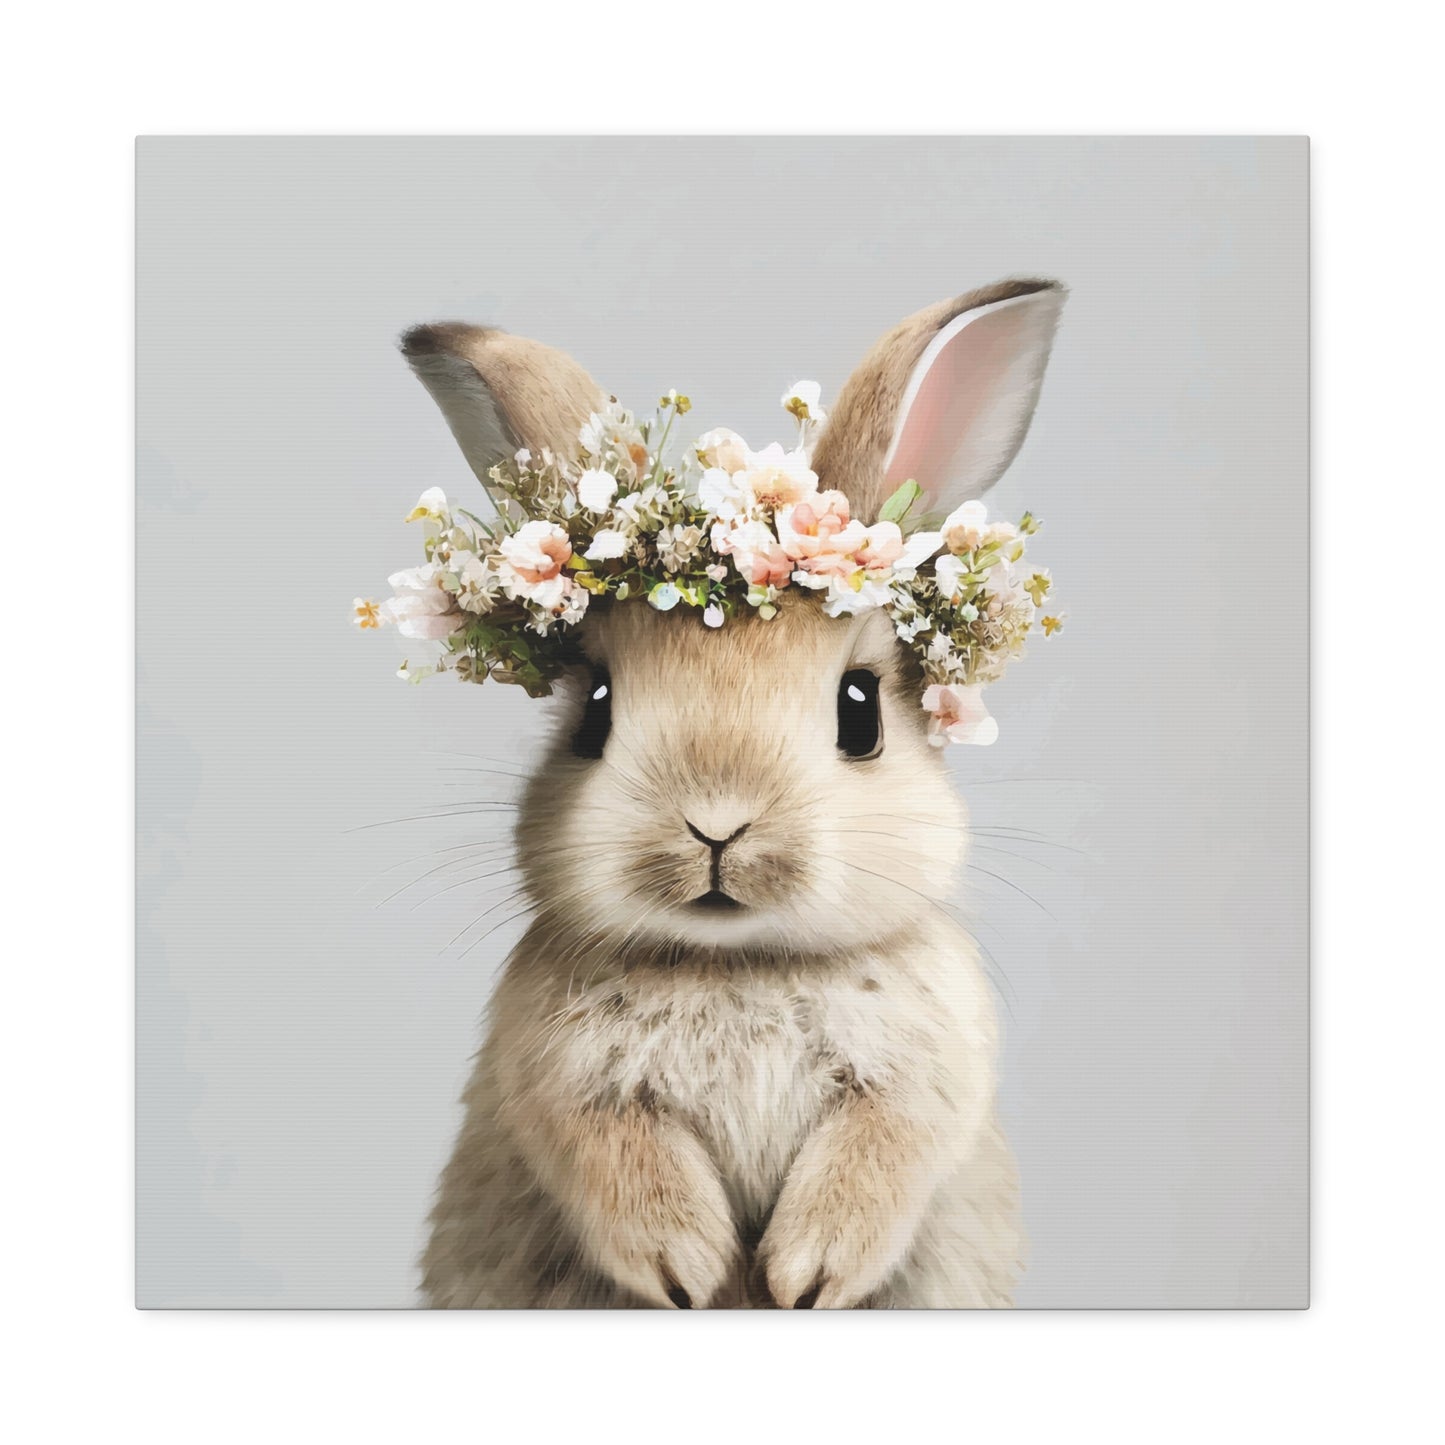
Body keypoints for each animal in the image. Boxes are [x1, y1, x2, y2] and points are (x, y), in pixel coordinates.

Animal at [400, 277, 1066, 1308]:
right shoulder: (560, 1086)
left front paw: (803, 1275)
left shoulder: (924, 1080)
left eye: (860, 713)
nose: (716, 824)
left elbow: (881, 1153)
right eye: (594, 712)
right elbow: (614, 1159)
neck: (738, 964)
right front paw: (691, 1270)